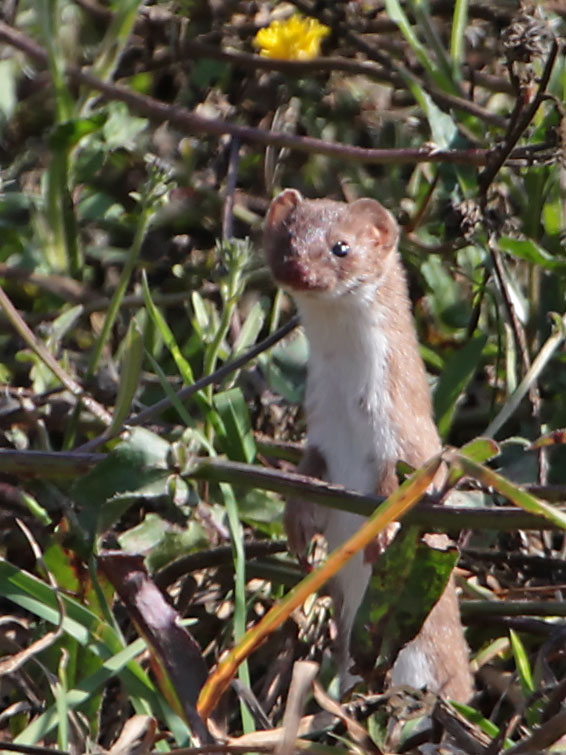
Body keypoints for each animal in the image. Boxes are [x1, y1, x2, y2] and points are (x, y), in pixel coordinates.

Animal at [266, 188, 474, 704]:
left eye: (341, 246)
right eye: (285, 238)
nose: (297, 269)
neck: (348, 411)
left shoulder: (405, 434)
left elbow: (410, 482)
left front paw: (381, 532)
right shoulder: (320, 431)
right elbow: (308, 473)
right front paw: (297, 528)